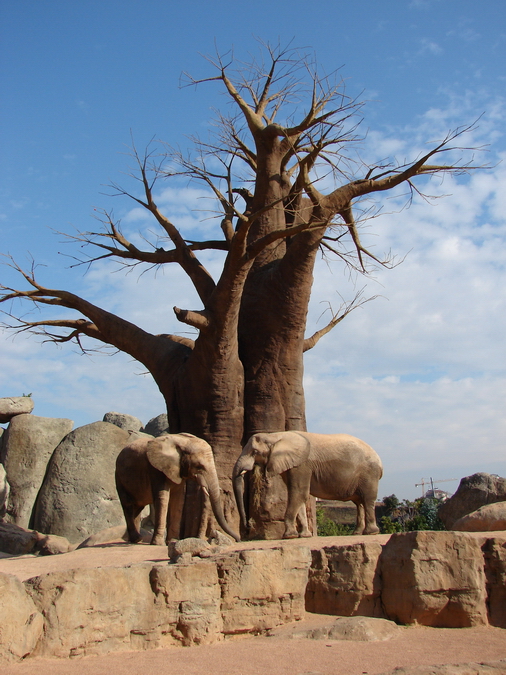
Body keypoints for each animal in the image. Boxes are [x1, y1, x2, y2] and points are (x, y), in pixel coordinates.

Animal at [232, 431, 383, 539]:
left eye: (254, 452)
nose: (248, 526)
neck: (275, 435)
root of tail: (380, 462)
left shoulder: (302, 465)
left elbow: (298, 494)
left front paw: (289, 536)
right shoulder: (292, 466)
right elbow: (300, 497)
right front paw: (304, 536)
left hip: (369, 474)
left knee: (367, 499)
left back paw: (371, 533)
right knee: (359, 503)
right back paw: (357, 533)